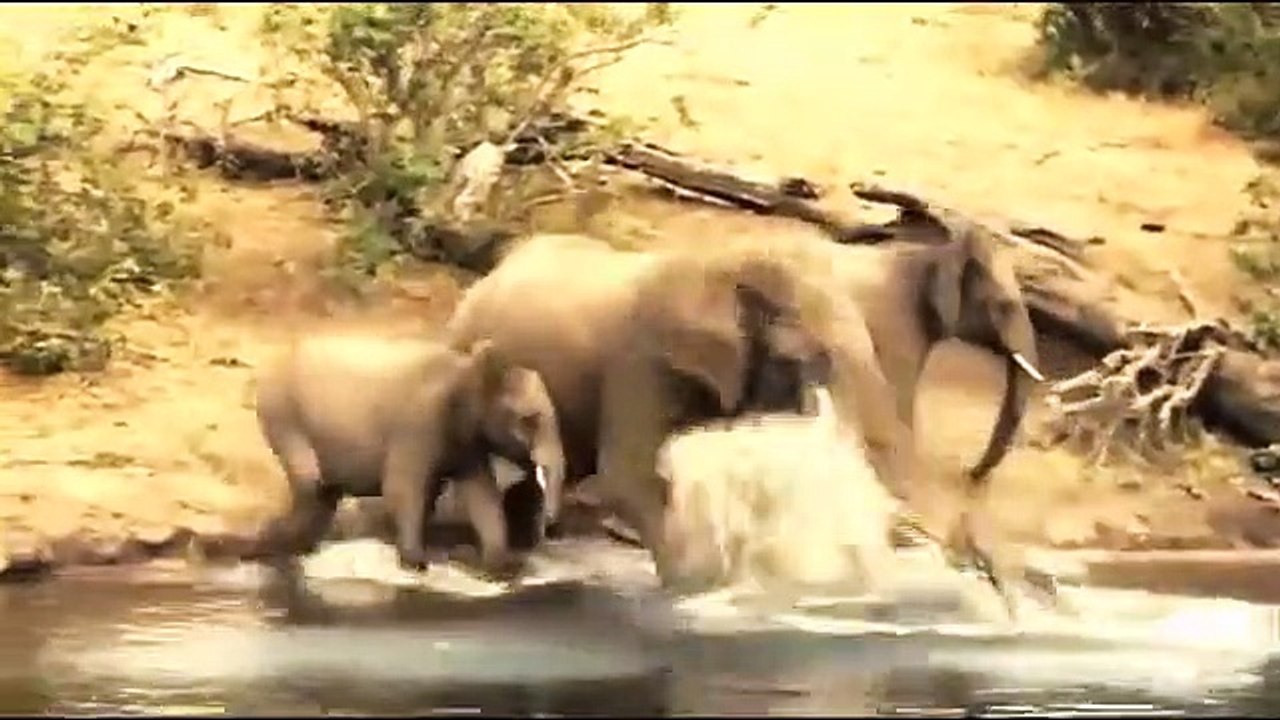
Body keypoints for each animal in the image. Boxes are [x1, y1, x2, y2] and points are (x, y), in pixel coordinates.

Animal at [253, 331, 567, 577]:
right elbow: (402, 487)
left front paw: (500, 564)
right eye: (529, 419)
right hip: (282, 414)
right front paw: (417, 563)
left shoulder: (467, 444)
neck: (465, 369)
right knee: (311, 482)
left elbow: (482, 495)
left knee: (322, 495)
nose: (546, 530)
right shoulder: (418, 423)